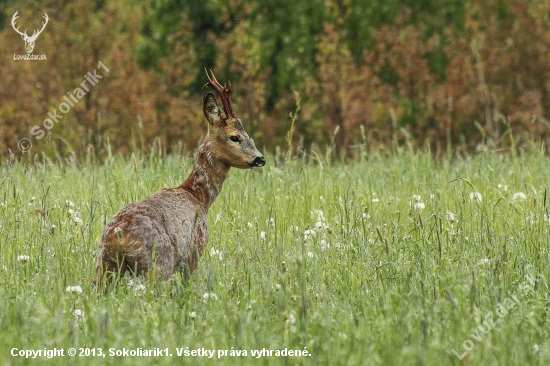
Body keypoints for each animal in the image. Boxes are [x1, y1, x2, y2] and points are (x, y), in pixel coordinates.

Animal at [95, 68, 268, 286]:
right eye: (234, 137)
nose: (260, 158)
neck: (199, 197)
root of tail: (118, 235)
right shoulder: (195, 249)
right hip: (157, 266)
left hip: (104, 265)